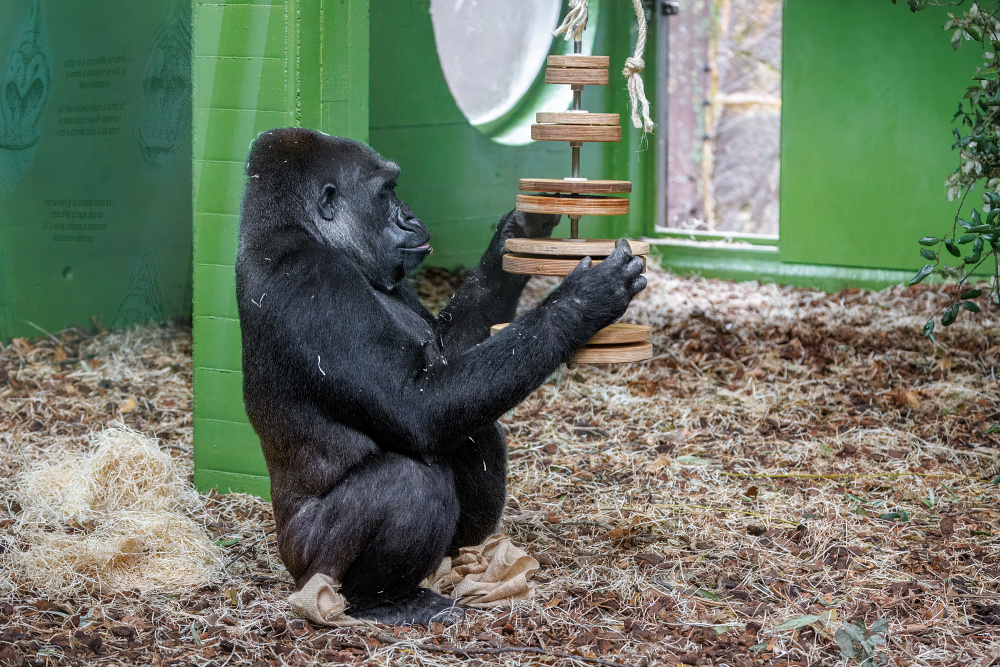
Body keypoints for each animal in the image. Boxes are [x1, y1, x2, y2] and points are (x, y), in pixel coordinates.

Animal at [238, 126, 648, 628]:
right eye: (386, 191)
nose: (410, 216)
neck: (300, 232)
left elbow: (446, 354)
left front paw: (520, 230)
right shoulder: (317, 283)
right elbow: (417, 404)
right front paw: (583, 301)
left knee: (473, 426)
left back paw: (458, 562)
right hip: (309, 565)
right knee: (407, 482)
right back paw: (382, 602)